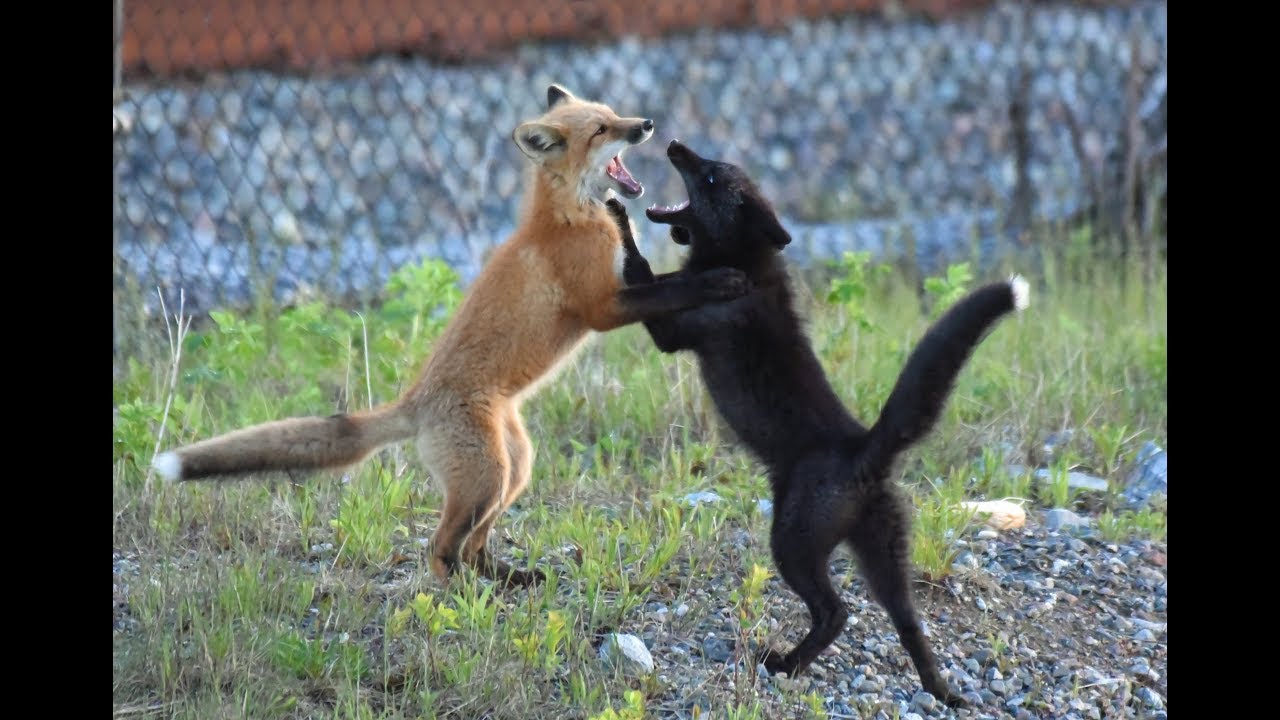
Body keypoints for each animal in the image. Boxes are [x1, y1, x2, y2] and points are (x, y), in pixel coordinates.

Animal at [151, 86, 749, 587]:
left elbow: (665, 280)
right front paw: (721, 280)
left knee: (476, 543)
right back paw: (464, 595)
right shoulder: (602, 306)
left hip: (513, 470)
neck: (567, 218)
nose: (646, 124)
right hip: (486, 477)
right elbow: (674, 289)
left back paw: (508, 579)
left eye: (614, 114)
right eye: (602, 130)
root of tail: (415, 402)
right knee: (439, 549)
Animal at [605, 140, 1029, 706]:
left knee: (837, 613)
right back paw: (941, 692)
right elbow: (655, 273)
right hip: (885, 559)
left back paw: (785, 664)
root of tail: (865, 451)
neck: (742, 260)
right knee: (910, 625)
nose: (674, 145)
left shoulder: (672, 331)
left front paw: (618, 214)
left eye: (712, 177)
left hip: (792, 544)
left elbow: (640, 266)